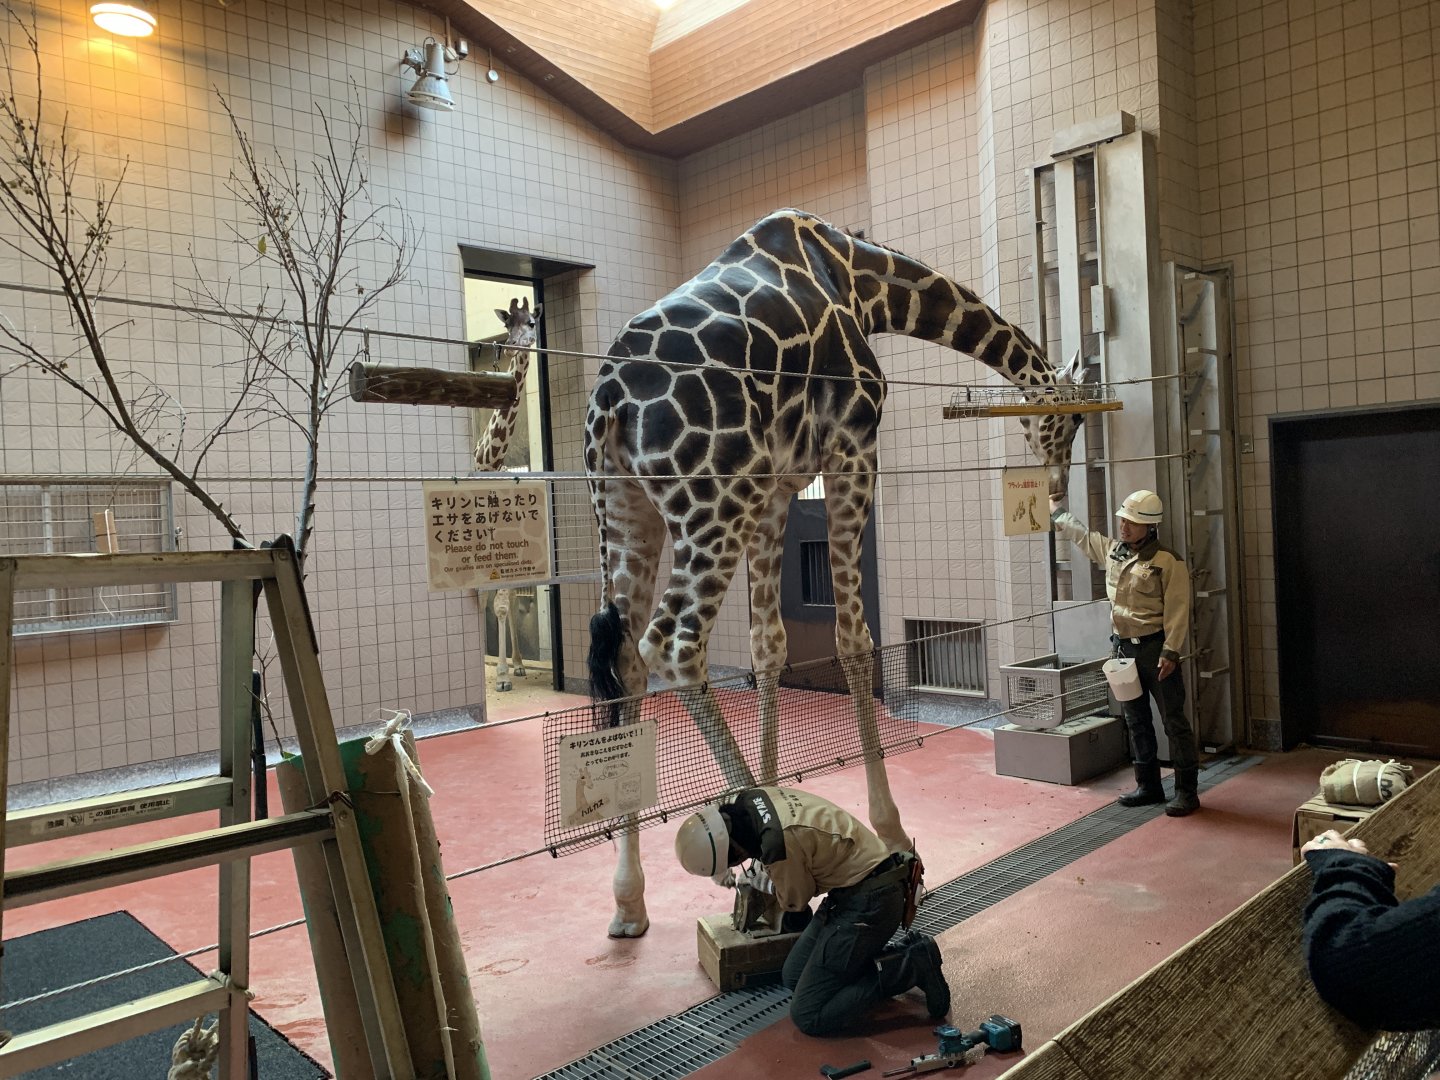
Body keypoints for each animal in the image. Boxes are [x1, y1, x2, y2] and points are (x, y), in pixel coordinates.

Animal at [584, 209, 1090, 938]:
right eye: (1070, 418)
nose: (1056, 487)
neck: (862, 280)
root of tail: (610, 404)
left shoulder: (776, 490)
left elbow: (770, 648)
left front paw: (777, 809)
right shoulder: (853, 448)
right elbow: (855, 641)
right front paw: (893, 835)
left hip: (626, 511)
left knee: (626, 662)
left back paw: (630, 900)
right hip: (713, 502)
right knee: (675, 646)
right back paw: (757, 851)